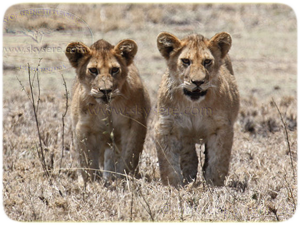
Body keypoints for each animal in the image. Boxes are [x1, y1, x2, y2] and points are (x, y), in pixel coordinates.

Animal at [65, 39, 150, 181]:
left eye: (114, 69)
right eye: (93, 70)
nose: (105, 91)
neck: (107, 108)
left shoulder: (134, 124)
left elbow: (130, 155)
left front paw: (125, 178)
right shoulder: (84, 127)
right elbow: (88, 161)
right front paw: (92, 182)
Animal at [156, 31, 240, 186]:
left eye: (207, 62)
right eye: (185, 61)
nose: (198, 82)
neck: (194, 106)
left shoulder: (222, 127)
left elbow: (218, 160)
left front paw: (214, 185)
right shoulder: (166, 126)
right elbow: (168, 162)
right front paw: (173, 186)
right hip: (186, 137)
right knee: (189, 158)